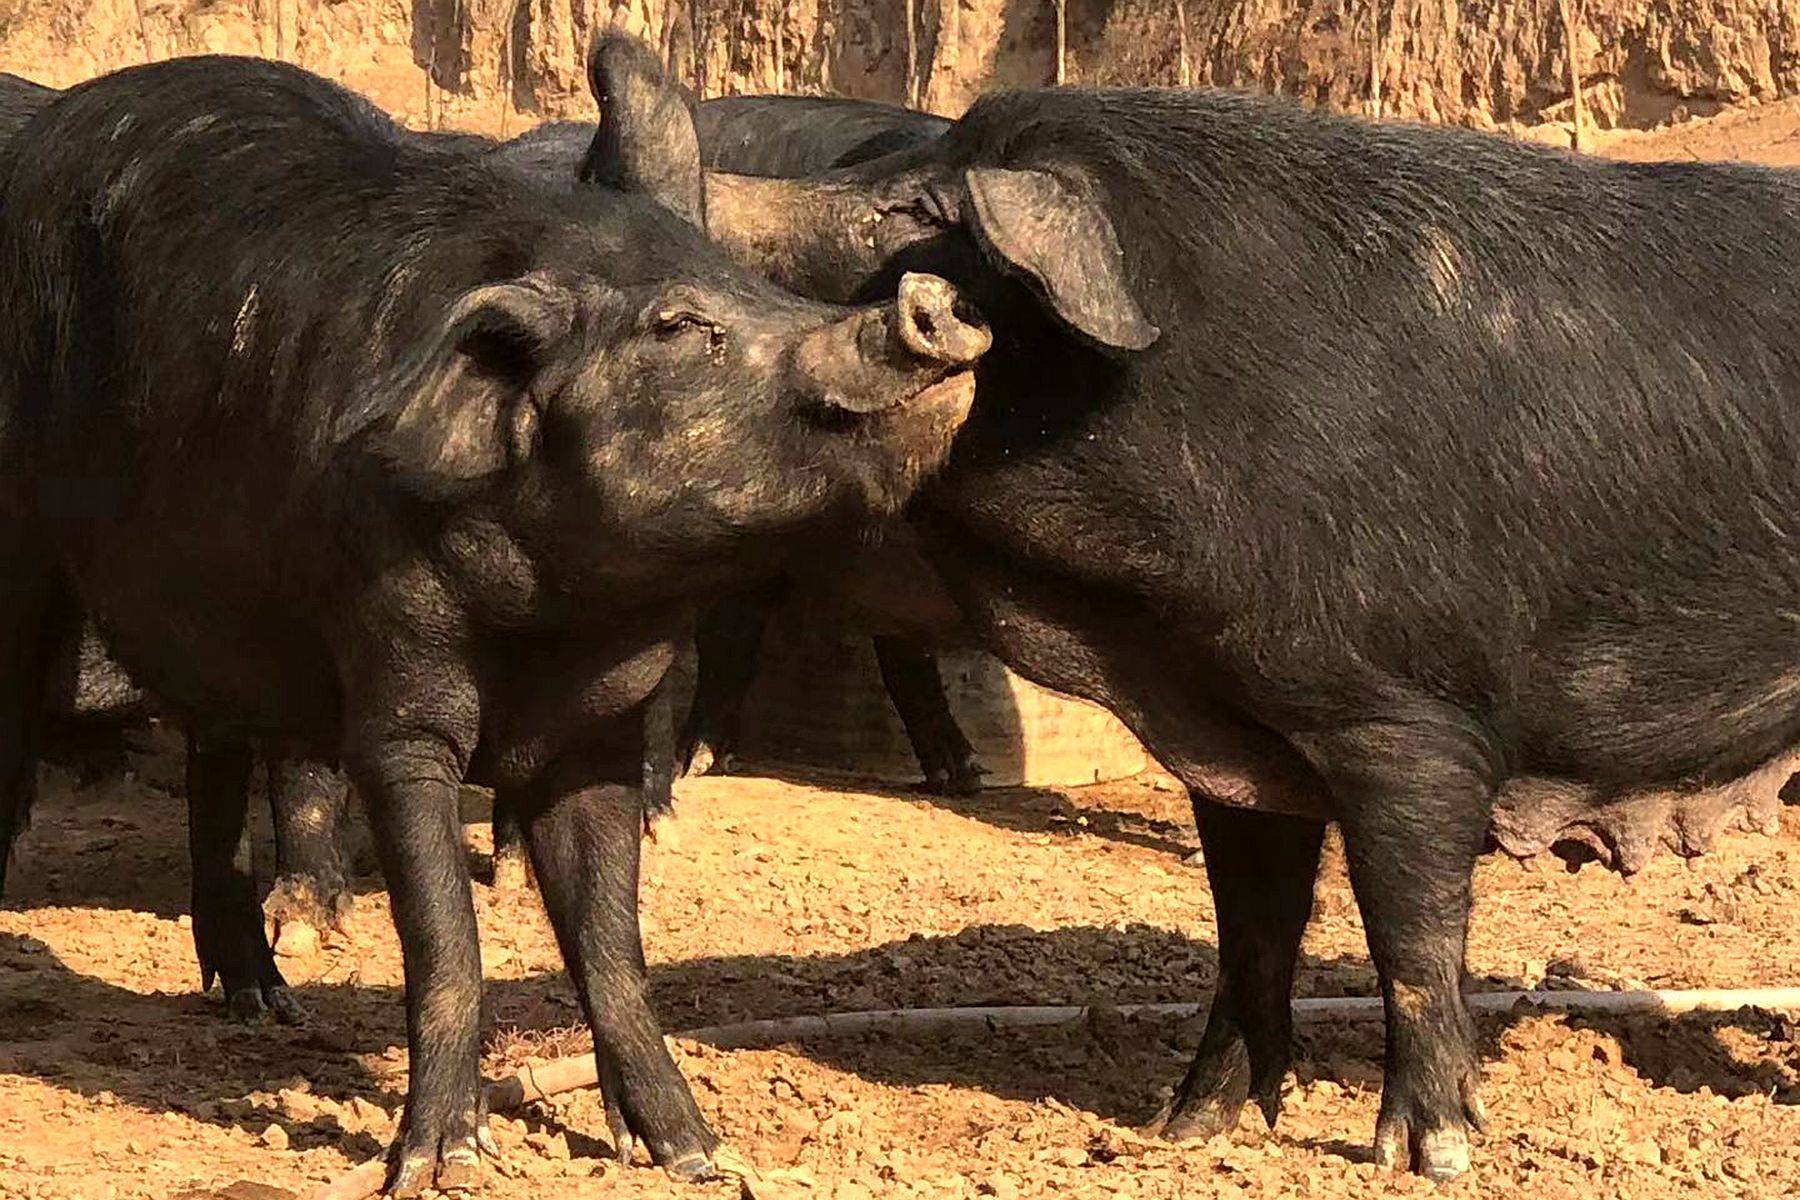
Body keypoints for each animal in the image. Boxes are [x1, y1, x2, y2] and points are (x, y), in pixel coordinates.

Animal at [0, 53, 986, 1194]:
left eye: (765, 292)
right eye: (676, 326)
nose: (930, 302)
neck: (554, 619)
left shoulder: (602, 725)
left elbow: (614, 945)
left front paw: (699, 1157)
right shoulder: (395, 683)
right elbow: (443, 937)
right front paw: (439, 1162)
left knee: (215, 756)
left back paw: (263, 1003)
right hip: (26, 546)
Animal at [608, 53, 1800, 1180]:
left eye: (911, 209)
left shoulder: (1405, 719)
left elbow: (1411, 936)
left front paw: (1423, 1157)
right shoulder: (1235, 737)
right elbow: (1251, 930)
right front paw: (1183, 1130)